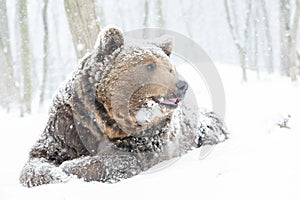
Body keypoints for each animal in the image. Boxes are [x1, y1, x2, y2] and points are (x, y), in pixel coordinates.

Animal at [19, 25, 227, 187]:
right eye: (150, 66)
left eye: (169, 68)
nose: (182, 85)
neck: (106, 117)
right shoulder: (68, 124)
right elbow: (40, 157)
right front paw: (56, 171)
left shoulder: (146, 137)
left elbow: (116, 160)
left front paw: (71, 167)